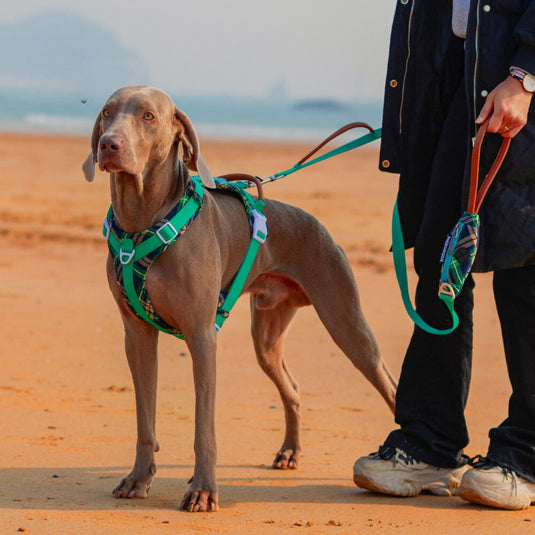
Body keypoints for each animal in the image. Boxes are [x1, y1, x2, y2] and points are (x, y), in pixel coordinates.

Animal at [81, 86, 396, 512]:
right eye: (107, 112)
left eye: (148, 116)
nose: (108, 144)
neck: (142, 222)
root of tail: (320, 225)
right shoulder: (137, 335)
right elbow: (145, 420)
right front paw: (138, 478)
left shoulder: (201, 336)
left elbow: (204, 428)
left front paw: (202, 491)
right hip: (267, 335)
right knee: (292, 387)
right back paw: (290, 452)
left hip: (346, 320)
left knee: (387, 382)